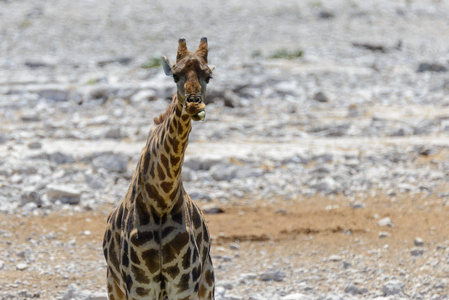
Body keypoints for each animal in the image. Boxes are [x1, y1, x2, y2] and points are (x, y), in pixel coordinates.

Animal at [102, 38, 214, 300]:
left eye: (209, 75)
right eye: (175, 75)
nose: (194, 106)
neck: (161, 201)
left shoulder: (184, 287)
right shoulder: (139, 287)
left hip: (207, 286)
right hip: (114, 287)